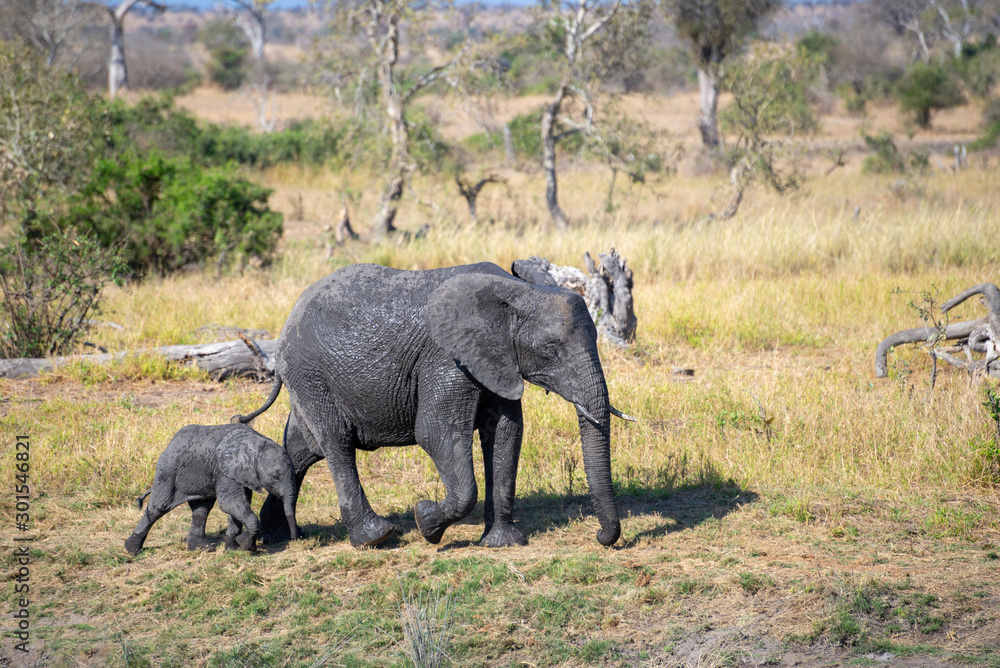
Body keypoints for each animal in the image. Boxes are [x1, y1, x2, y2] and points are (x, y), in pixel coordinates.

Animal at [124, 423, 299, 556]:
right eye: (276, 476)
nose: (295, 539)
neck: (257, 443)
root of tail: (169, 444)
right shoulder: (224, 470)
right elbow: (229, 503)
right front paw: (247, 546)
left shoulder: (240, 474)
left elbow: (239, 505)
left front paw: (233, 550)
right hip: (167, 471)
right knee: (158, 507)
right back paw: (131, 551)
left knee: (202, 509)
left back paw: (202, 549)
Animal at [238, 262, 633, 549]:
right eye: (551, 349)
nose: (601, 538)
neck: (517, 291)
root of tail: (287, 321)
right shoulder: (446, 361)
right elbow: (435, 433)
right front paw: (425, 521)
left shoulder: (497, 362)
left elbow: (506, 435)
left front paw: (502, 544)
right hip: (311, 375)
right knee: (337, 444)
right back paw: (376, 538)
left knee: (301, 448)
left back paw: (276, 537)